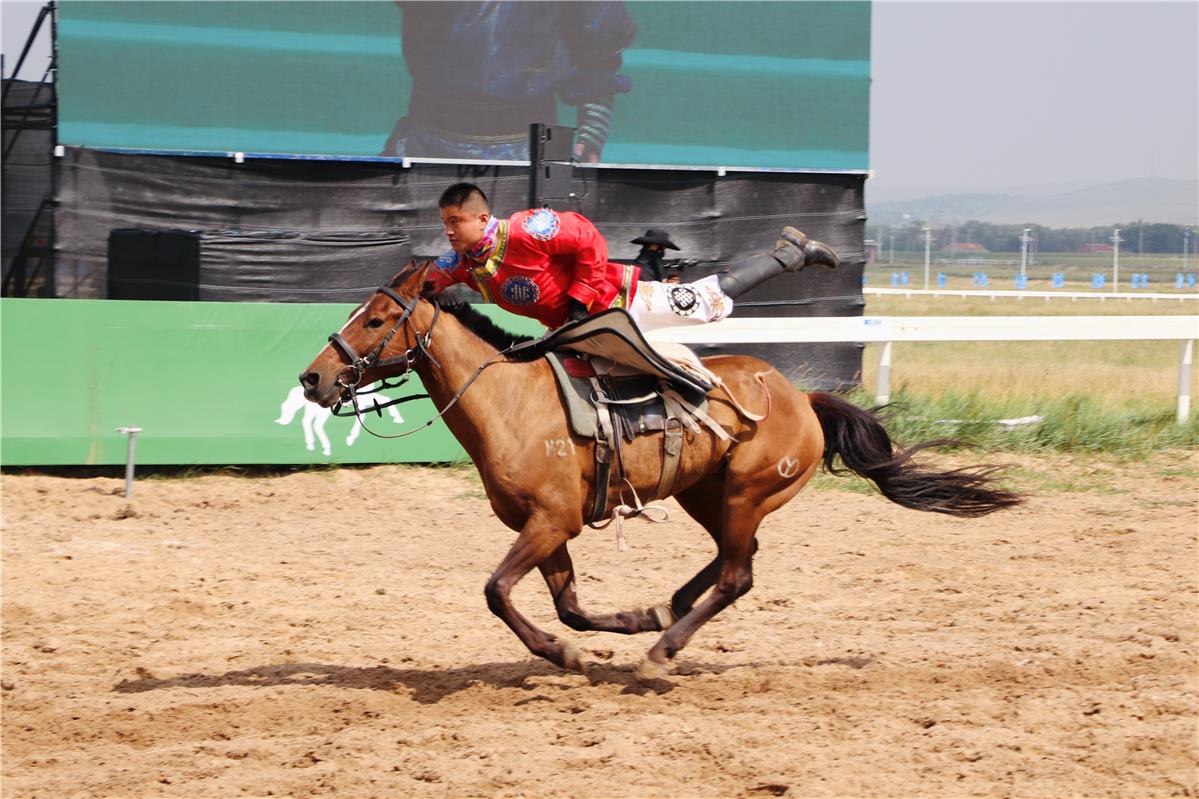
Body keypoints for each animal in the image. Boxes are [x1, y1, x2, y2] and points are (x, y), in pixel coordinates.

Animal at [299, 260, 1020, 679]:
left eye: (378, 319)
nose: (314, 377)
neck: (510, 399)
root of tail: (803, 397)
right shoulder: (549, 527)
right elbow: (569, 608)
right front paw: (609, 630)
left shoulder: (551, 521)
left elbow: (497, 591)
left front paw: (570, 651)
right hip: (708, 493)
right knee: (733, 560)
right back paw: (665, 610)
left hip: (746, 491)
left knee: (736, 575)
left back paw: (662, 651)